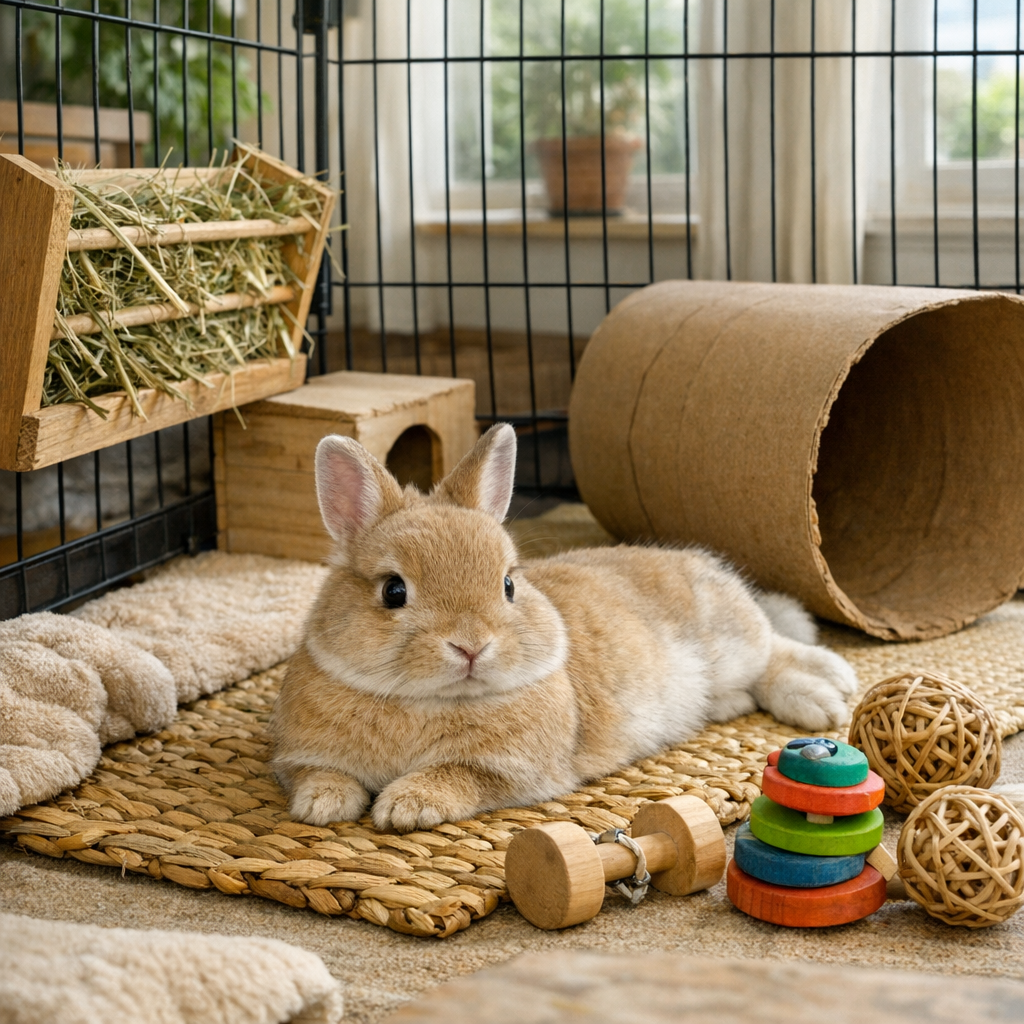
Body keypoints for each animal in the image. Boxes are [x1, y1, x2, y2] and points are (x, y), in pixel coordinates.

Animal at [269, 423, 859, 832]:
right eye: (394, 591)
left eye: (508, 584)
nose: (471, 646)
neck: (422, 700)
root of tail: (708, 570)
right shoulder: (297, 757)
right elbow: (316, 774)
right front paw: (324, 806)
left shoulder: (512, 771)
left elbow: (458, 775)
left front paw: (406, 806)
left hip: (732, 643)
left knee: (775, 652)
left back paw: (829, 694)